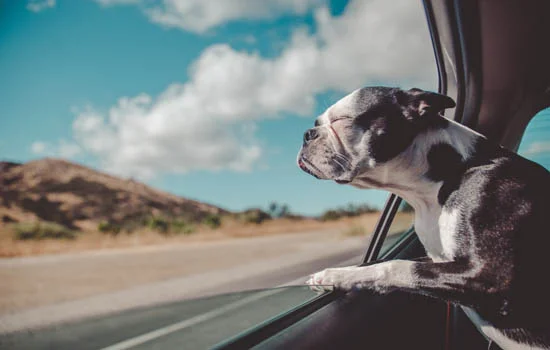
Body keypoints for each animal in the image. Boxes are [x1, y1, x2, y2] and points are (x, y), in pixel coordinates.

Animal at [300, 85, 550, 350]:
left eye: (342, 120)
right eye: (317, 123)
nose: (307, 134)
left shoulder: (488, 276)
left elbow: (395, 266)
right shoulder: (438, 261)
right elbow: (377, 263)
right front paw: (335, 275)